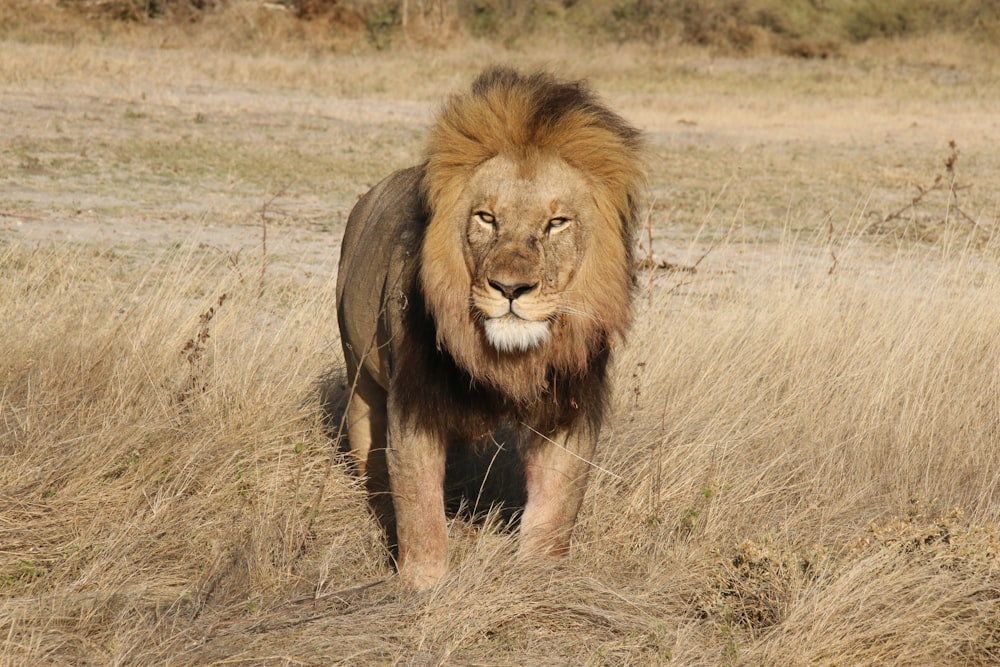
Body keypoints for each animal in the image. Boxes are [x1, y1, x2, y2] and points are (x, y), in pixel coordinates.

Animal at [336, 66, 644, 588]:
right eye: (486, 218)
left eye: (556, 223)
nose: (510, 288)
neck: (508, 357)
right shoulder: (414, 404)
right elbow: (419, 510)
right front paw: (422, 588)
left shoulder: (567, 408)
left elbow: (556, 506)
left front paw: (540, 582)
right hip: (360, 375)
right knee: (371, 458)